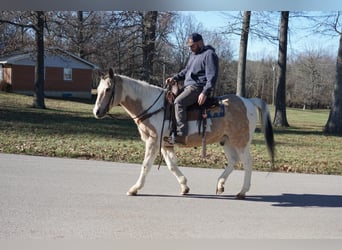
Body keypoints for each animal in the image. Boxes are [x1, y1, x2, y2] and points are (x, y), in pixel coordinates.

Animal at [92, 68, 274, 199]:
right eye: (98, 89)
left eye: (108, 89)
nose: (96, 111)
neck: (153, 106)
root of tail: (248, 101)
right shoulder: (165, 144)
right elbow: (172, 165)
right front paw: (184, 186)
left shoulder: (153, 141)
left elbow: (146, 165)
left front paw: (134, 189)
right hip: (227, 140)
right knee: (233, 160)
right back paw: (220, 184)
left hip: (240, 141)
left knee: (247, 162)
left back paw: (242, 192)